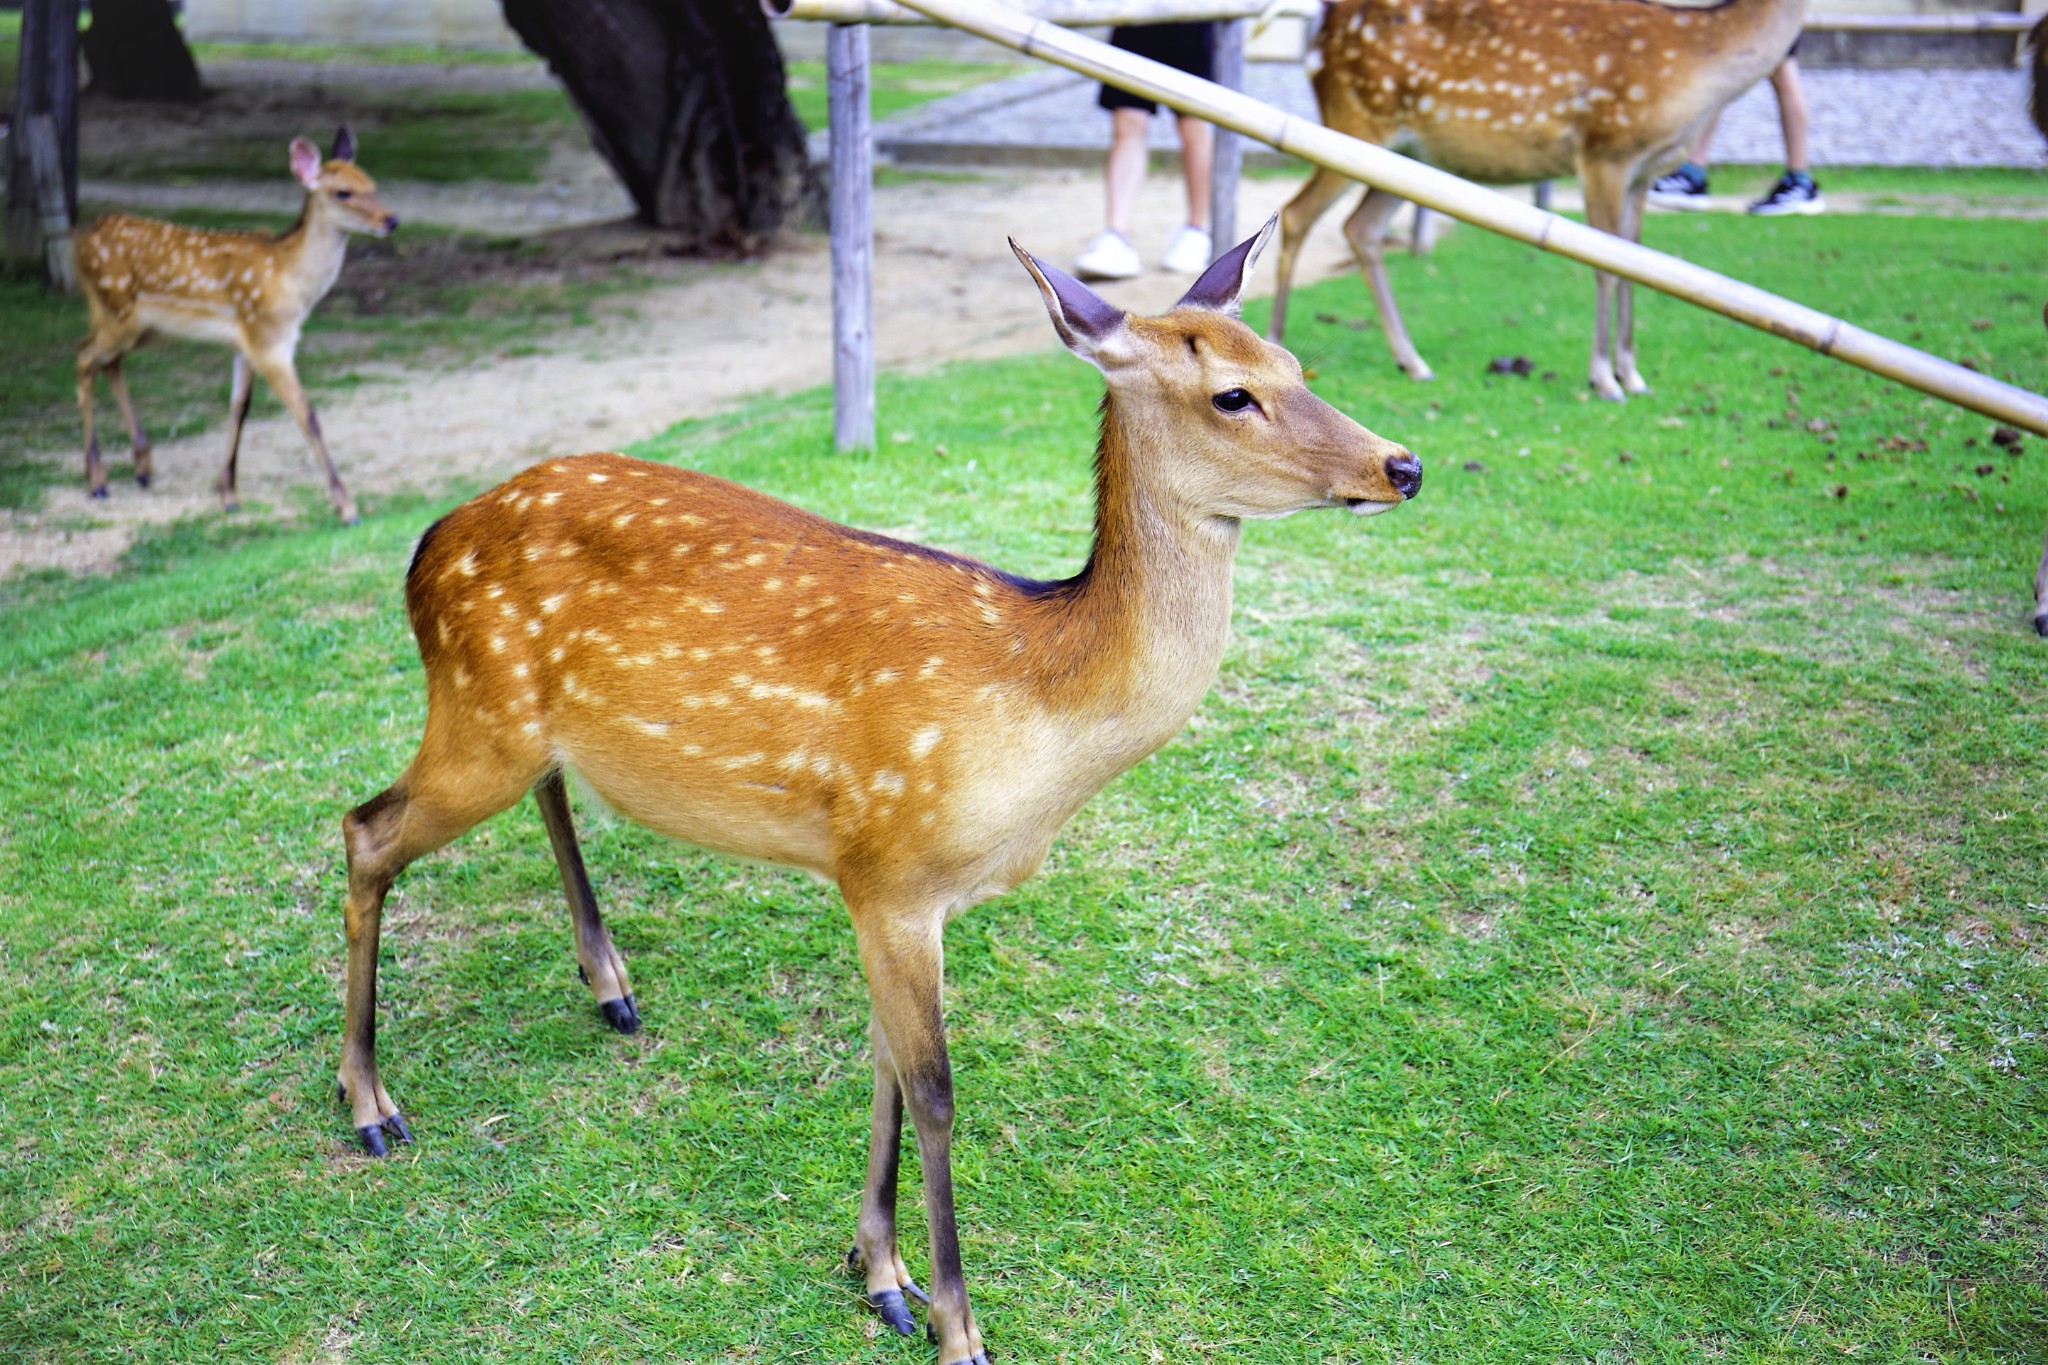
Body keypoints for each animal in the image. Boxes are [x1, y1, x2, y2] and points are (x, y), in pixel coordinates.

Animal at [71, 126, 395, 523]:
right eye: (344, 192)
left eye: (372, 184)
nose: (391, 220)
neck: (291, 283)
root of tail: (79, 242)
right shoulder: (269, 339)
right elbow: (307, 415)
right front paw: (347, 507)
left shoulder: (247, 342)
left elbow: (239, 407)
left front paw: (228, 492)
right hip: (116, 309)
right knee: (85, 356)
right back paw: (97, 481)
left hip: (140, 326)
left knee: (107, 361)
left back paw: (142, 467)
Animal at [335, 222, 1425, 1365]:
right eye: (1231, 394)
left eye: (1295, 364)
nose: (1402, 464)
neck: (1040, 708)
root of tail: (428, 542)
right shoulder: (894, 870)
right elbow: (936, 1089)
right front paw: (956, 1324)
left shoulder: (881, 889)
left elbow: (886, 1069)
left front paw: (878, 1271)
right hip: (477, 709)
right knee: (365, 828)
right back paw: (370, 1103)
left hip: (517, 721)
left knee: (533, 793)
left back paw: (610, 985)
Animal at [1261, 0, 1810, 397]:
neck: (1700, 65)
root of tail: (1319, 33)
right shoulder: (1604, 151)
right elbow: (1607, 267)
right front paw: (1604, 378)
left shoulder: (1644, 172)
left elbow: (1636, 264)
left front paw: (1633, 374)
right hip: (1354, 122)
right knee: (1299, 214)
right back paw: (1279, 342)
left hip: (1402, 152)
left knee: (1360, 227)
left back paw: (1413, 361)